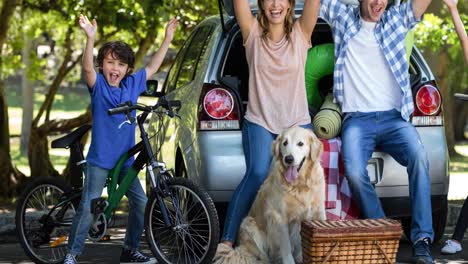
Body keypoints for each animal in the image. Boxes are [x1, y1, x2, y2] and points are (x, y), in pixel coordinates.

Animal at [213, 127, 326, 262]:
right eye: (285, 143)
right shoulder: (278, 216)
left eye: (300, 144)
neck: (300, 185)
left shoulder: (319, 212)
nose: (288, 159)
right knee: (263, 257)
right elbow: (286, 248)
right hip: (249, 224)